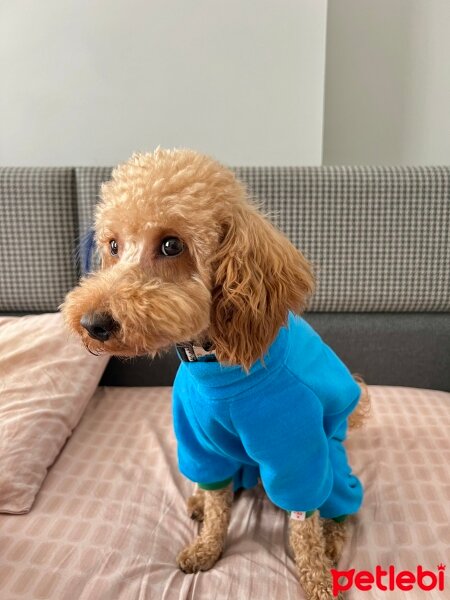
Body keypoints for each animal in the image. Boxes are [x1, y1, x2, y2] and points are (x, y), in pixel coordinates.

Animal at [62, 146, 370, 600]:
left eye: (172, 245)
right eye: (113, 246)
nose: (93, 324)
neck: (215, 364)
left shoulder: (296, 449)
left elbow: (304, 525)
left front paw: (317, 578)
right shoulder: (200, 441)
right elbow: (218, 503)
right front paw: (206, 546)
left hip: (331, 454)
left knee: (340, 502)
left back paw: (332, 539)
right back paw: (198, 502)